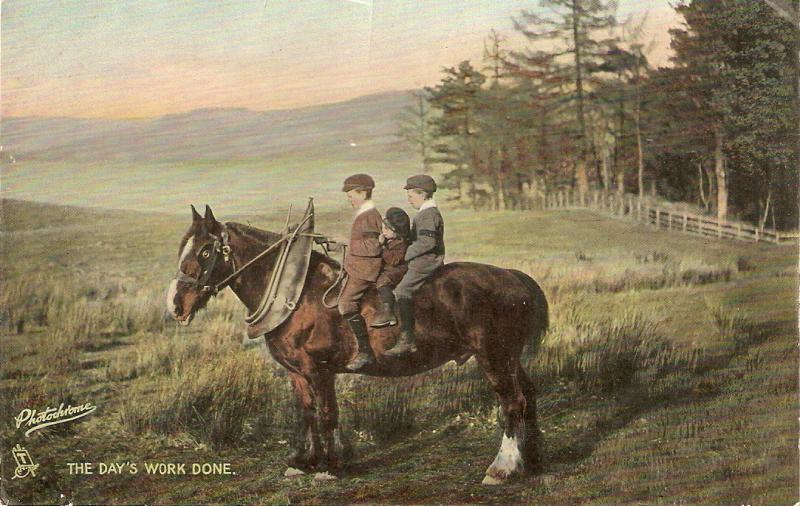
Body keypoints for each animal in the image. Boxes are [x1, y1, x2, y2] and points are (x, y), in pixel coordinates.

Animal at [165, 206, 548, 486]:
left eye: (205, 250)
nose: (175, 305)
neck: (297, 294)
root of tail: (511, 276)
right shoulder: (297, 374)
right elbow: (306, 414)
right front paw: (303, 462)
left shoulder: (319, 370)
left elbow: (326, 415)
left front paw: (329, 466)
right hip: (510, 357)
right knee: (528, 395)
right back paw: (532, 460)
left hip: (493, 356)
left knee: (512, 402)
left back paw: (501, 467)